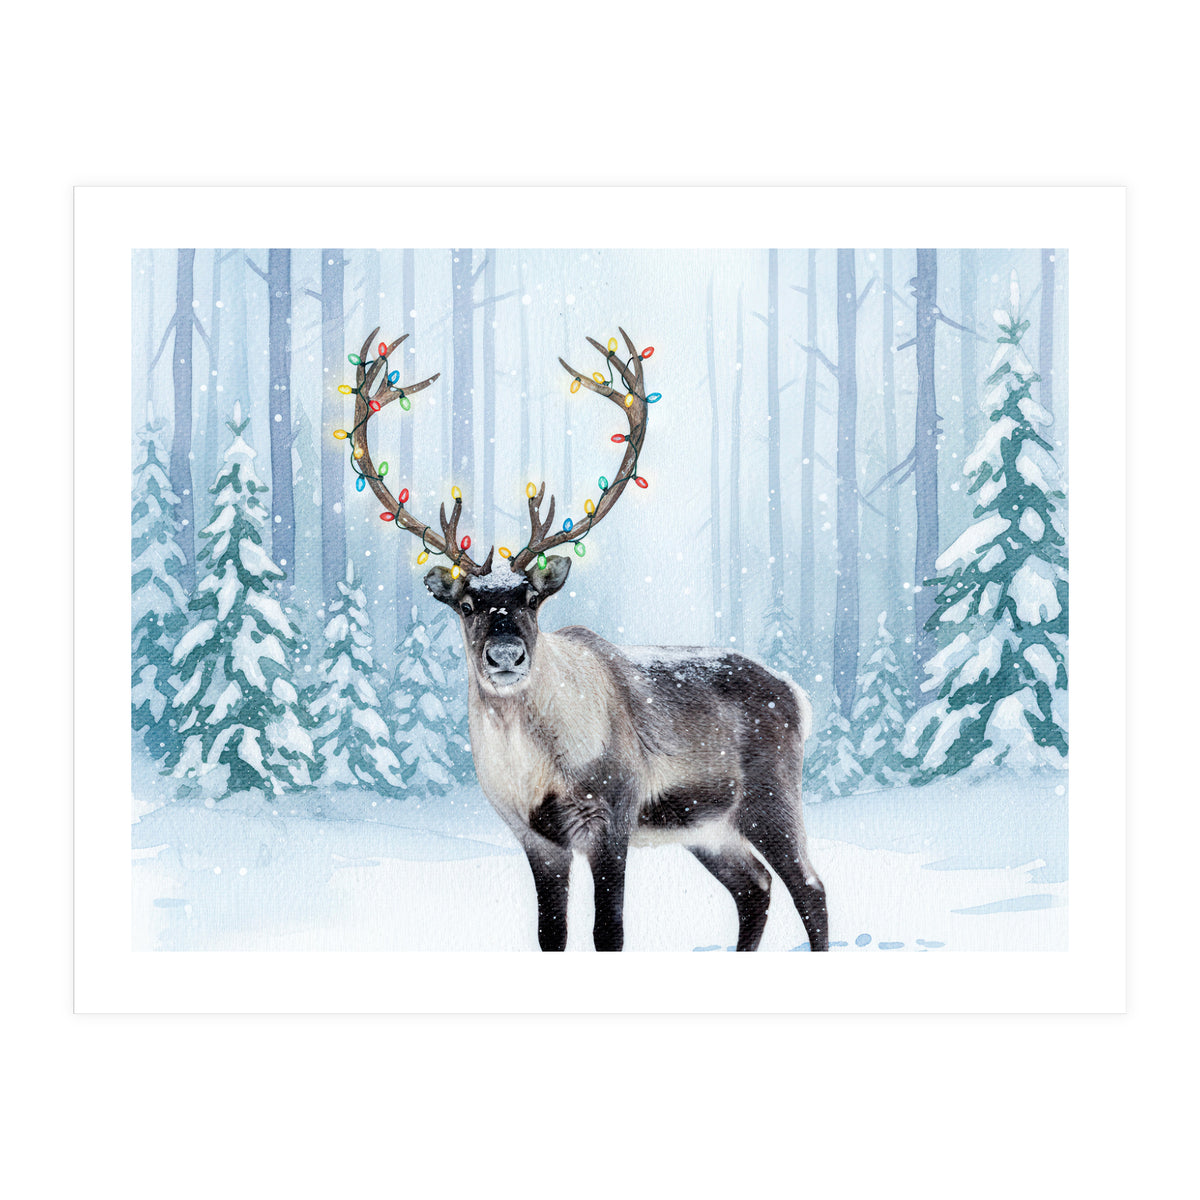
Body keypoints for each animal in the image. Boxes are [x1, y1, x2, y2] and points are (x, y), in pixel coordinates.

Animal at [346, 326, 828, 952]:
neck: (536, 770)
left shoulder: (611, 816)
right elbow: (551, 933)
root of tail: (797, 693)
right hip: (708, 826)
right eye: (468, 604)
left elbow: (609, 931)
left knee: (809, 888)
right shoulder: (536, 837)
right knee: (755, 887)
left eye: (532, 599)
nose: (506, 656)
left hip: (769, 798)